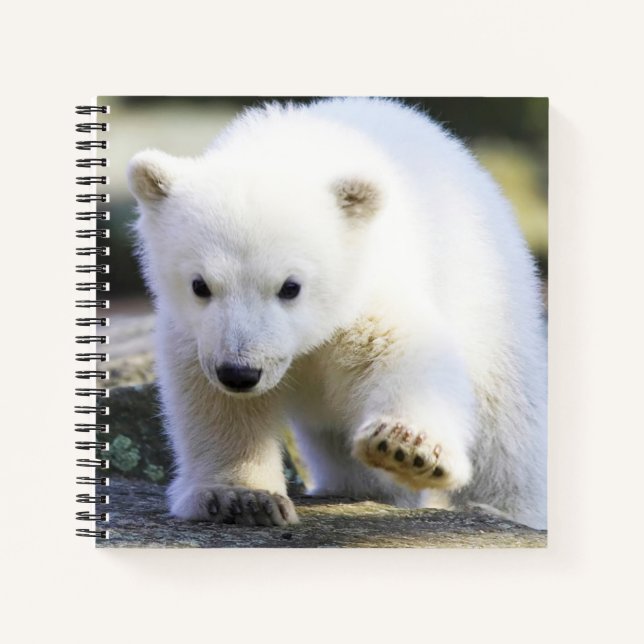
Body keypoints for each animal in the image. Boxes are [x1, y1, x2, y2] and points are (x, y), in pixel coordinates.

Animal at [127, 97, 547, 530]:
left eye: (290, 286)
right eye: (200, 285)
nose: (240, 373)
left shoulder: (365, 287)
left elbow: (405, 350)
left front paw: (406, 447)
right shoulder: (197, 334)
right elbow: (216, 403)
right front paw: (242, 497)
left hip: (487, 289)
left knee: (505, 421)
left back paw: (504, 507)